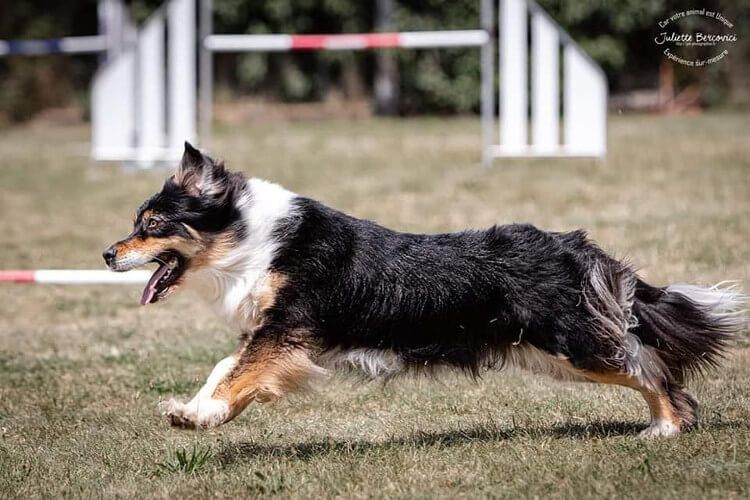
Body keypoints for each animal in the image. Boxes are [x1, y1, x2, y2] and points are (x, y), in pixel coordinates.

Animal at [101, 142, 748, 438]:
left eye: (151, 224)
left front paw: (199, 414)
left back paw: (668, 427)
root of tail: (575, 246)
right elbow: (226, 367)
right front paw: (196, 412)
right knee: (643, 357)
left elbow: (240, 372)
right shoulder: (277, 332)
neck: (252, 238)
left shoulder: (288, 328)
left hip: (572, 342)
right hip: (554, 350)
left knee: (647, 364)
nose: (107, 253)